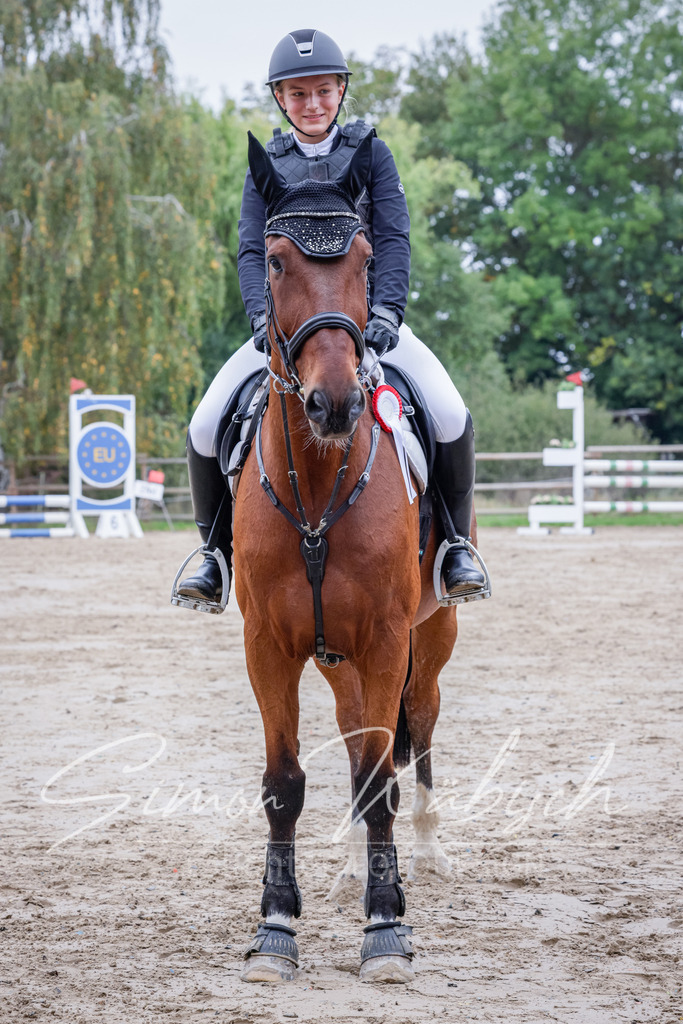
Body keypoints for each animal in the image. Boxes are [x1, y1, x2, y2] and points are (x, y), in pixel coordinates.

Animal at [232, 131, 476, 984]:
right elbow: (284, 784)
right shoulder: (268, 646)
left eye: (367, 257)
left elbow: (379, 781)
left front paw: (386, 929)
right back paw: (342, 861)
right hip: (336, 657)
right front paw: (275, 929)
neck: (317, 486)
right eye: (275, 261)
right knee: (350, 739)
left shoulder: (384, 640)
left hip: (429, 639)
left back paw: (429, 850)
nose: (334, 402)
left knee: (420, 730)